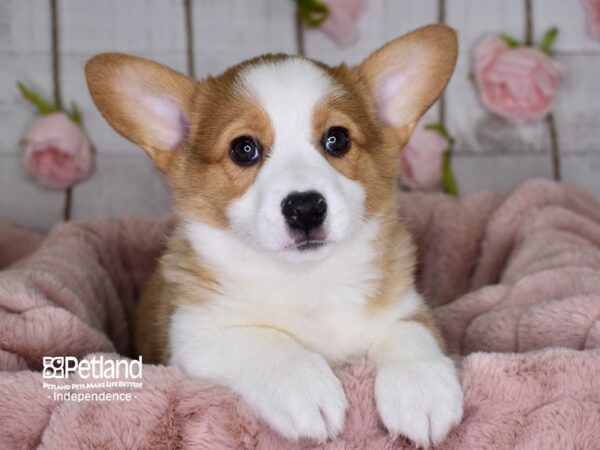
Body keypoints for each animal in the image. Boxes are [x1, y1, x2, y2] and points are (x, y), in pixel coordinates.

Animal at [85, 25, 464, 450]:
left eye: (337, 139)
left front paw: (422, 390)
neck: (304, 280)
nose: (306, 208)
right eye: (243, 149)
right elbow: (263, 342)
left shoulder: (405, 307)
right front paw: (304, 386)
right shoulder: (193, 340)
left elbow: (410, 333)